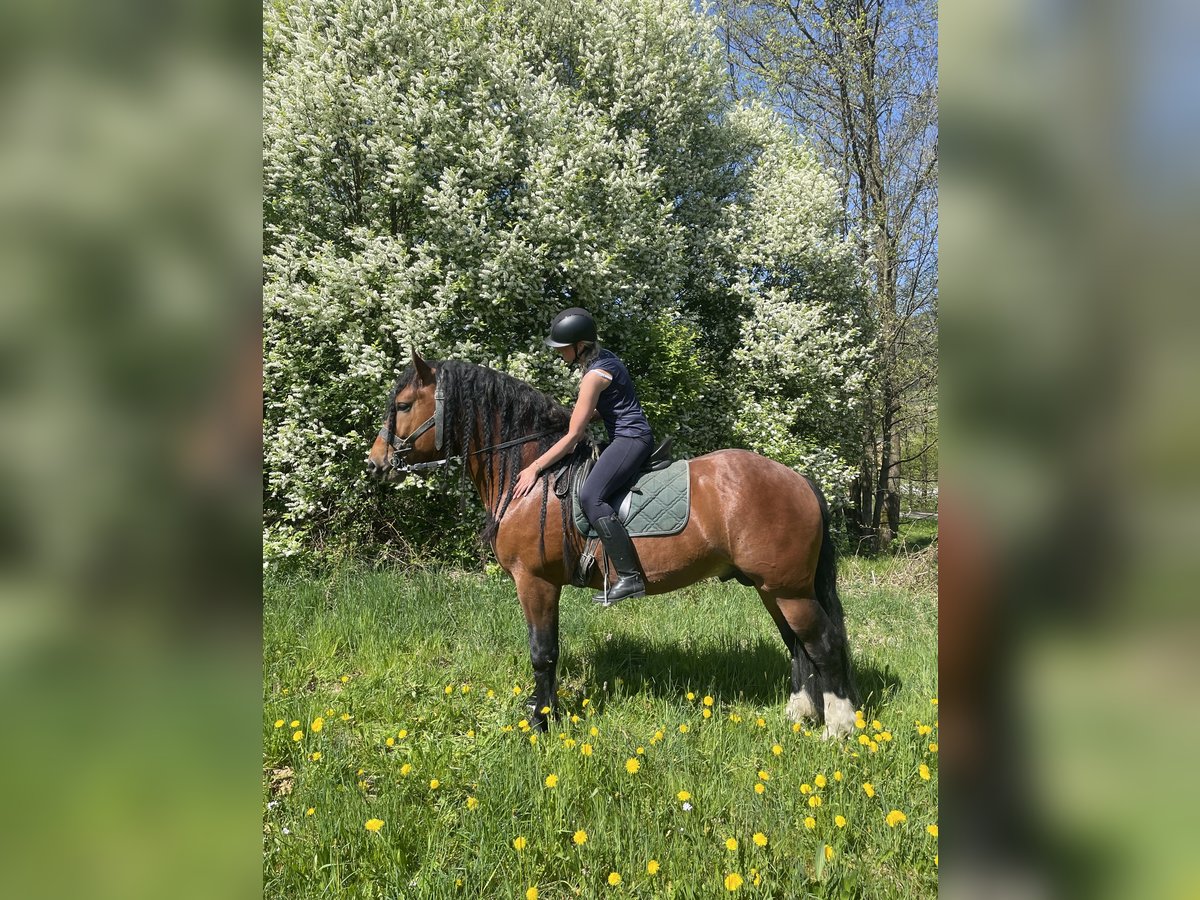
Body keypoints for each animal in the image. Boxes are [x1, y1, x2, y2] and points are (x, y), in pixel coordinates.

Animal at [364, 352, 864, 739]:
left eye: (403, 404)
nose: (374, 464)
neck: (534, 477)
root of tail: (799, 480)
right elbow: (549, 652)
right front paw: (546, 715)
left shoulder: (535, 581)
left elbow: (543, 653)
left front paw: (540, 724)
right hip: (772, 589)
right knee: (797, 646)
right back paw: (798, 715)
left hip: (788, 590)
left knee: (821, 645)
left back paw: (838, 728)